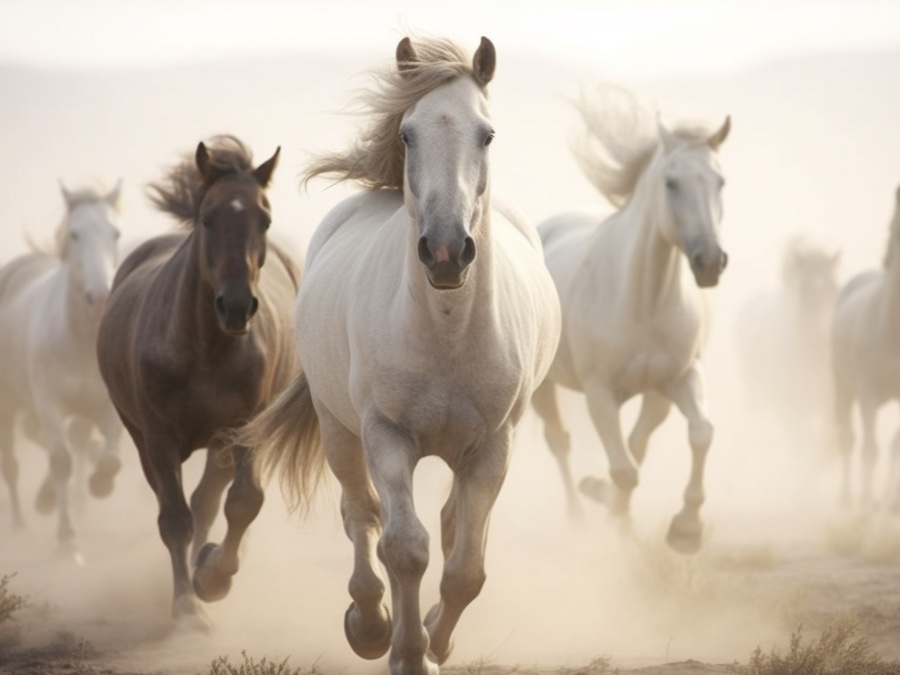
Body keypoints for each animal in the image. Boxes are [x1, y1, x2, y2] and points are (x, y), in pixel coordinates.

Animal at [0, 181, 124, 556]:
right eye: (74, 233)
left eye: (115, 232)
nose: (99, 297)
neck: (80, 344)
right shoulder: (49, 404)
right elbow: (61, 462)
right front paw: (67, 539)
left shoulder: (107, 406)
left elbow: (110, 459)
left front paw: (99, 484)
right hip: (9, 405)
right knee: (12, 464)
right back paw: (20, 523)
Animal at [96, 136, 301, 627]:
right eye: (208, 218)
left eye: (265, 220)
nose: (237, 306)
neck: (206, 351)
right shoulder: (158, 439)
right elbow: (175, 518)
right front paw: (187, 609)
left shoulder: (244, 431)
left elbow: (243, 502)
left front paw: (213, 578)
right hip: (143, 438)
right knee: (185, 506)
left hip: (222, 443)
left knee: (209, 500)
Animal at [239, 37, 560, 675]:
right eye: (408, 134)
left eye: (487, 134)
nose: (445, 251)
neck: (447, 335)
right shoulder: (387, 435)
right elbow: (404, 548)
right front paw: (404, 652)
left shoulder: (493, 447)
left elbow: (466, 570)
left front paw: (436, 643)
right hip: (338, 430)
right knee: (360, 514)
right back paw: (368, 622)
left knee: (452, 526)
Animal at [531, 86, 730, 553]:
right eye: (671, 182)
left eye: (720, 182)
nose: (710, 262)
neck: (644, 301)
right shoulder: (600, 393)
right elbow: (624, 469)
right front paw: (619, 522)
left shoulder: (677, 381)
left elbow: (698, 434)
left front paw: (686, 528)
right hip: (543, 387)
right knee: (559, 441)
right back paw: (578, 516)